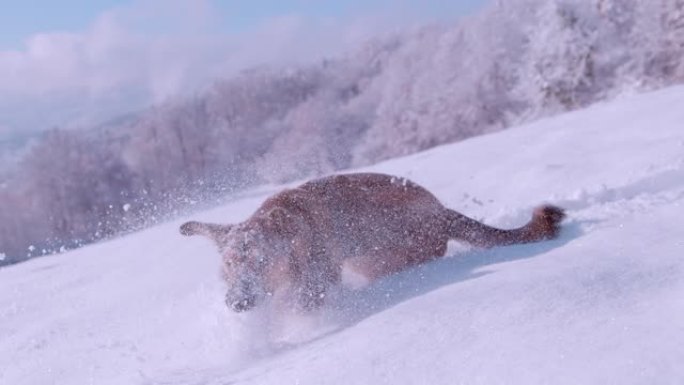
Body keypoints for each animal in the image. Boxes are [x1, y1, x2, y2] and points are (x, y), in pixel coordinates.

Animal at [179, 172, 564, 310]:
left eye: (262, 261)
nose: (237, 302)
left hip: (377, 258)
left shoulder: (317, 282)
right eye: (229, 267)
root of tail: (441, 211)